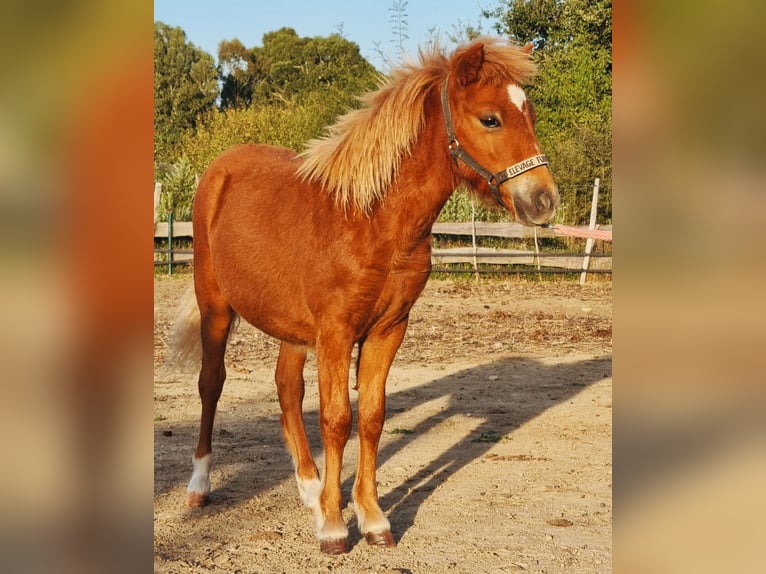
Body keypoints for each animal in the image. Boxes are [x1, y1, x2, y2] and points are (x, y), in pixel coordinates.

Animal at [172, 38, 560, 556]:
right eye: (491, 119)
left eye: (529, 113)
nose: (544, 201)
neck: (371, 219)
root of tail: (220, 170)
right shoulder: (336, 332)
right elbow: (337, 419)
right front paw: (336, 529)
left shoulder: (387, 329)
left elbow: (372, 416)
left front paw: (372, 519)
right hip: (215, 307)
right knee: (211, 384)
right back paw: (201, 486)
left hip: (293, 330)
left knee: (287, 390)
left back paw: (312, 489)